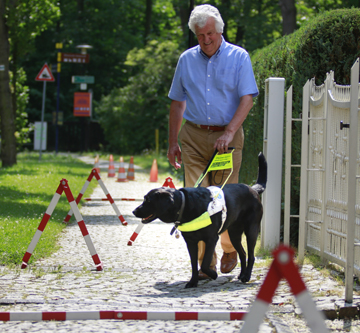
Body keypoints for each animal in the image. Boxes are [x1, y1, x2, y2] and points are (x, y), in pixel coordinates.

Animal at [133, 152, 268, 286]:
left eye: (148, 200)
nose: (134, 211)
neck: (185, 205)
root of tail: (253, 189)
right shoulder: (191, 242)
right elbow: (194, 264)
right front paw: (193, 281)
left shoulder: (212, 239)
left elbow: (204, 264)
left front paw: (213, 274)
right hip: (234, 234)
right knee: (243, 253)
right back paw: (242, 275)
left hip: (251, 230)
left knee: (251, 256)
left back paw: (247, 276)